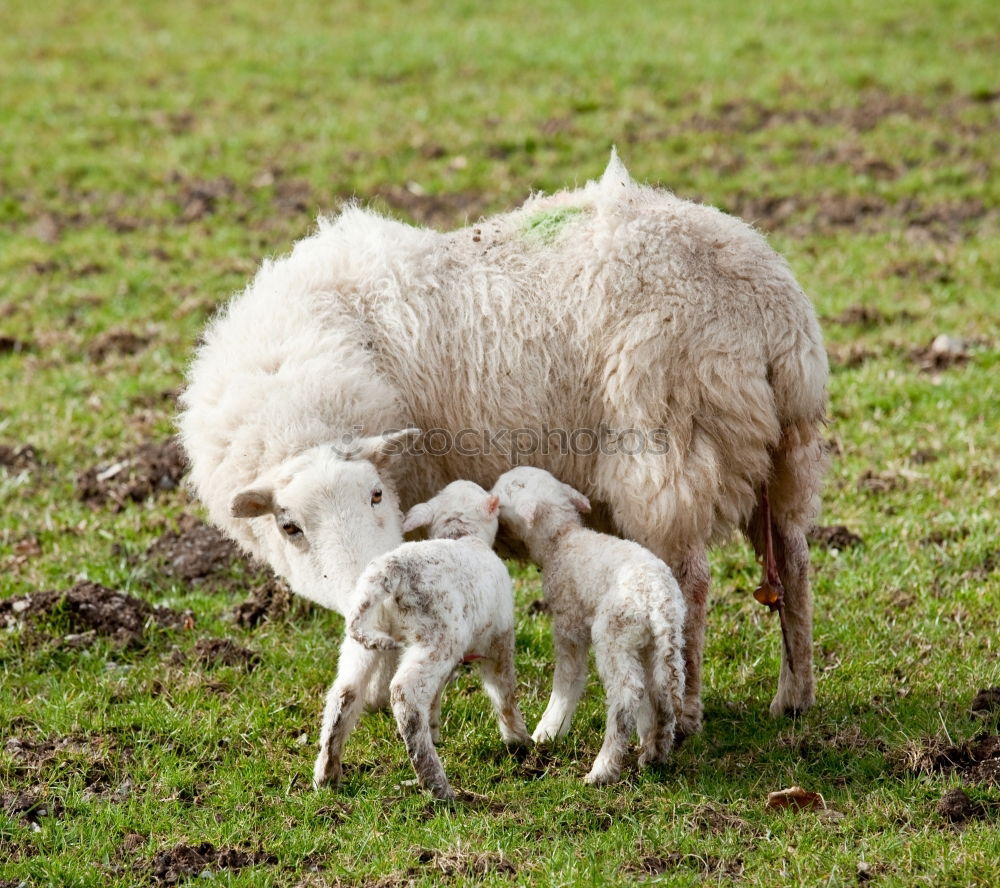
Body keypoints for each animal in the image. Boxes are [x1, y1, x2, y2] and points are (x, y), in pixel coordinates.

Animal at [180, 151, 828, 736]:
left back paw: (688, 709)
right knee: (793, 560)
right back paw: (793, 696)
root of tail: (767, 308)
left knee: (689, 581)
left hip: (669, 450)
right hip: (783, 453)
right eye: (290, 527)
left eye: (375, 495)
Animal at [312, 482, 532, 800]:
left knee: (345, 693)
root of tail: (389, 571)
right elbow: (504, 691)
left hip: (366, 637)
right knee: (405, 694)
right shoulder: (499, 637)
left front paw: (436, 729)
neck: (461, 536)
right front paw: (518, 739)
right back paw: (436, 783)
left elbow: (437, 696)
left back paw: (327, 773)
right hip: (436, 637)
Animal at [494, 464, 688, 784]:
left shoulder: (568, 622)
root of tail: (659, 600)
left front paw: (549, 731)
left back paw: (603, 769)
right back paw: (654, 753)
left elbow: (568, 677)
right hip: (657, 644)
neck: (562, 539)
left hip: (613, 633)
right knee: (660, 692)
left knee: (627, 695)